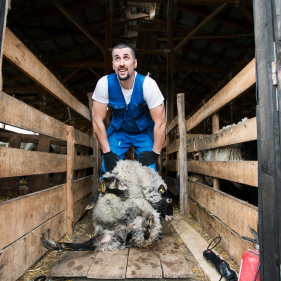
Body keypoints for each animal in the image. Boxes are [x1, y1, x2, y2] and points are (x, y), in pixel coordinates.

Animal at [42, 160, 172, 252]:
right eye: (169, 200)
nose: (171, 218)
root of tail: (125, 235)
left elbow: (106, 187)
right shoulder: (115, 176)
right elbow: (101, 188)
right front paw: (91, 204)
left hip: (132, 231)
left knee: (146, 235)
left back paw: (148, 224)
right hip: (108, 236)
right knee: (87, 244)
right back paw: (53, 245)